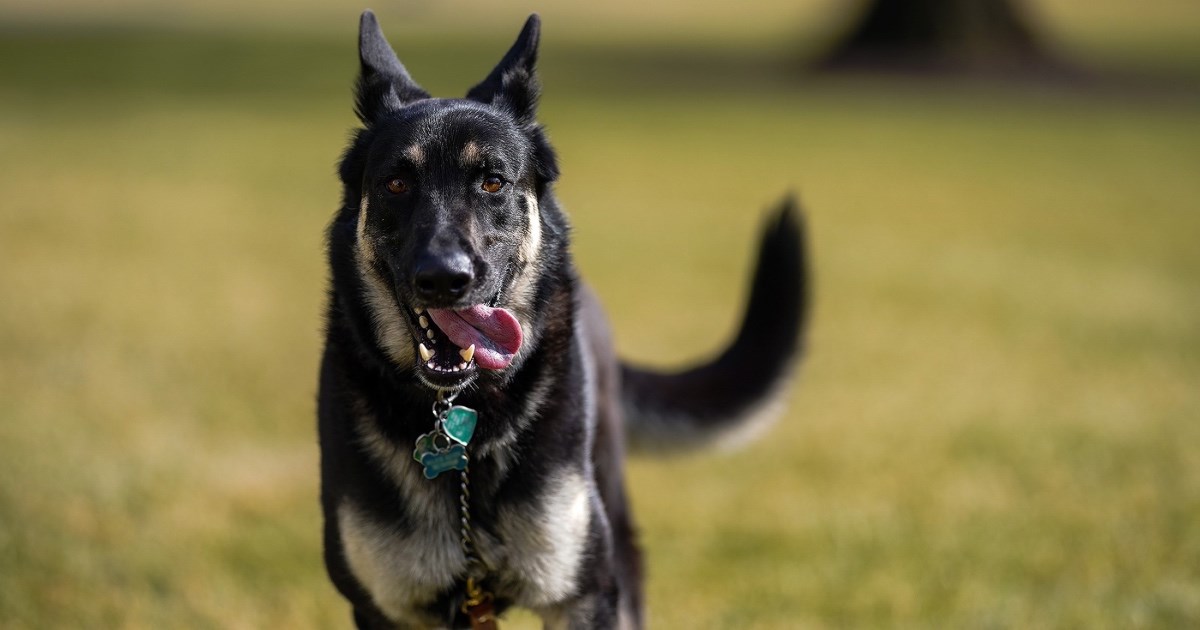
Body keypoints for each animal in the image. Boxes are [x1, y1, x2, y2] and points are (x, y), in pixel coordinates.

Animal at [319, 11, 811, 628]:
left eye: (493, 182)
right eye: (396, 183)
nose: (443, 278)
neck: (465, 423)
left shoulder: (585, 595)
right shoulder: (390, 608)